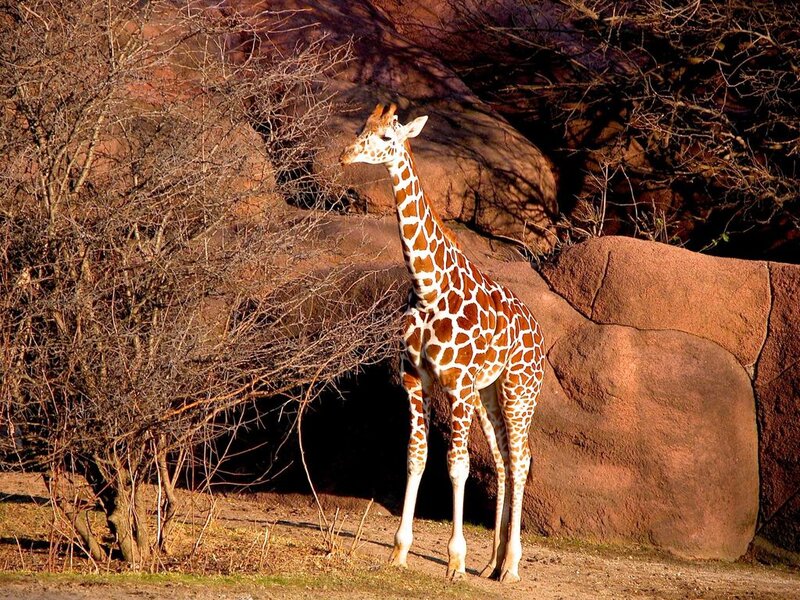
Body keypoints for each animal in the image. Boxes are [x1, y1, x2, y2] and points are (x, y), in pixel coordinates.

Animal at [340, 103, 545, 583]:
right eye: (361, 129)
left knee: (522, 461)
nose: (344, 156)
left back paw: (511, 565)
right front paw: (399, 551)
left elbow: (457, 466)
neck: (427, 287)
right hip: (489, 394)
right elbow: (416, 457)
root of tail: (539, 334)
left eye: (387, 139)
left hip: (518, 391)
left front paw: (455, 560)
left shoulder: (456, 384)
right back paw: (492, 563)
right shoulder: (416, 381)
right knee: (504, 462)